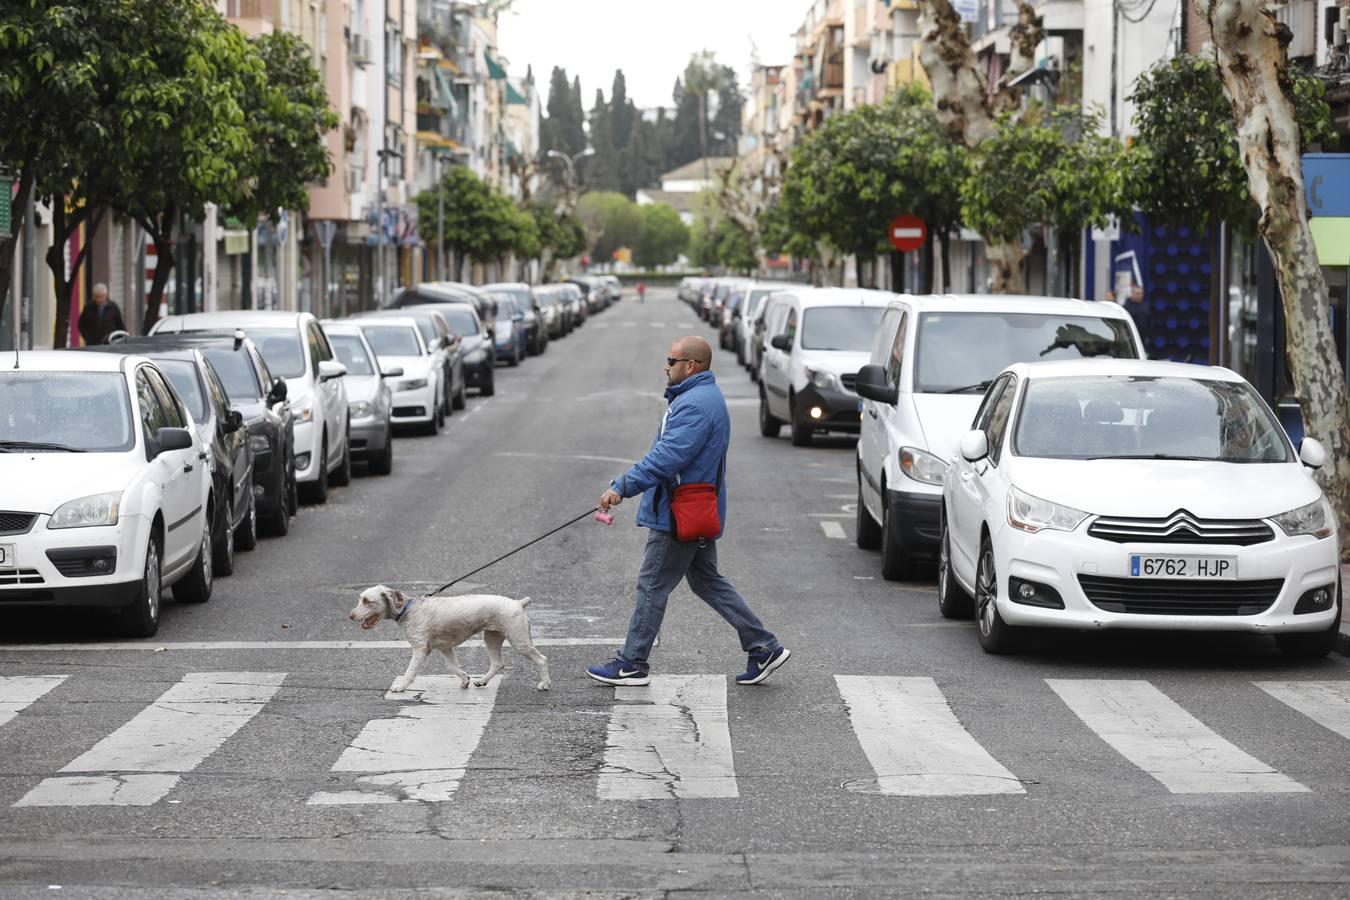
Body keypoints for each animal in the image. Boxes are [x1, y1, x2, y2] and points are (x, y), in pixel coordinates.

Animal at [353, 585, 553, 696]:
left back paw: (544, 684)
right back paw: (482, 681)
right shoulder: (445, 648)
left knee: (542, 659)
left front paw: (400, 687)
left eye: (367, 601)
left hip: (519, 641)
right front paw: (465, 679)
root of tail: (518, 603)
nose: (350, 615)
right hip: (491, 637)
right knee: (498, 663)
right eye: (361, 599)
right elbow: (453, 667)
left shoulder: (419, 650)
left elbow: (409, 672)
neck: (409, 610)